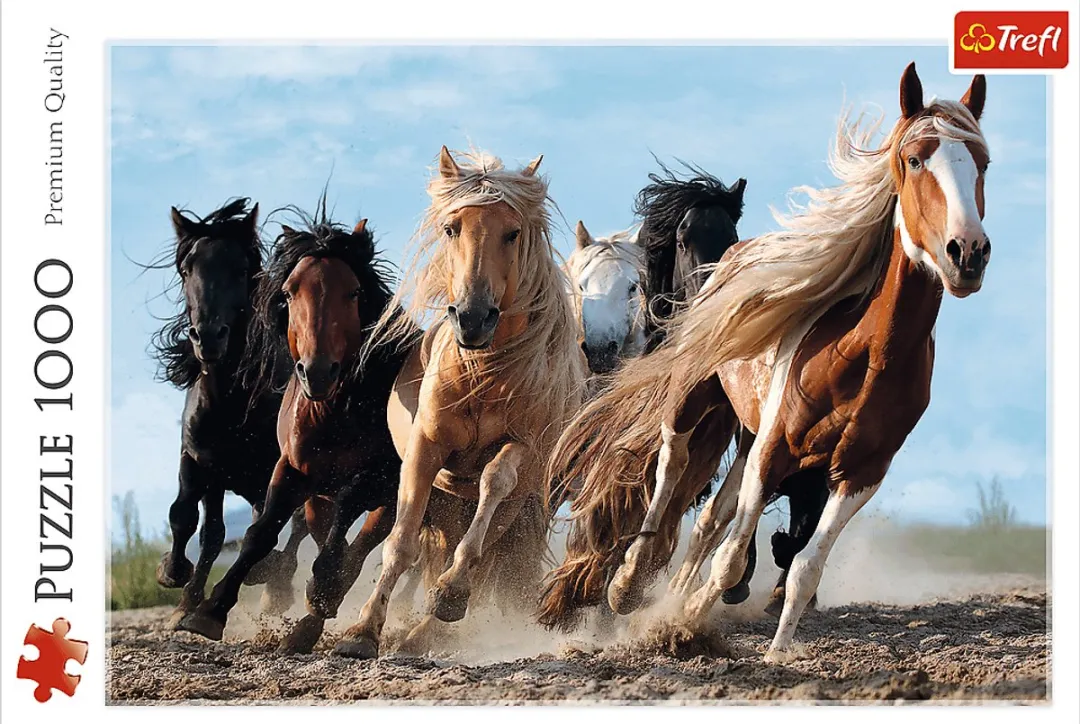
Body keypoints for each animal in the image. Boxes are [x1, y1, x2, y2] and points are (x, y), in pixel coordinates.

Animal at [150, 198, 303, 628]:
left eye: (240, 268)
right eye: (187, 269)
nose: (208, 337)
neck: (231, 405)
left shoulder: (276, 469)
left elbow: (268, 526)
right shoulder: (200, 461)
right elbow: (192, 520)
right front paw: (178, 583)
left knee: (297, 527)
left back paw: (275, 584)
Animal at [175, 205, 415, 653]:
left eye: (353, 292)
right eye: (288, 293)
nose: (317, 372)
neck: (334, 411)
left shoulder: (379, 479)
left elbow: (347, 519)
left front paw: (321, 588)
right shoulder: (290, 469)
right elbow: (259, 532)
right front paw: (208, 611)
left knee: (360, 547)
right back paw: (306, 624)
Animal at [330, 147, 587, 659]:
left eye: (513, 233)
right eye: (452, 228)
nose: (472, 318)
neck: (483, 374)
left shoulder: (522, 449)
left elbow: (493, 483)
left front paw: (449, 594)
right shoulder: (425, 450)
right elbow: (401, 543)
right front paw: (362, 630)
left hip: (517, 505)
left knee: (484, 555)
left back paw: (428, 626)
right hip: (450, 502)